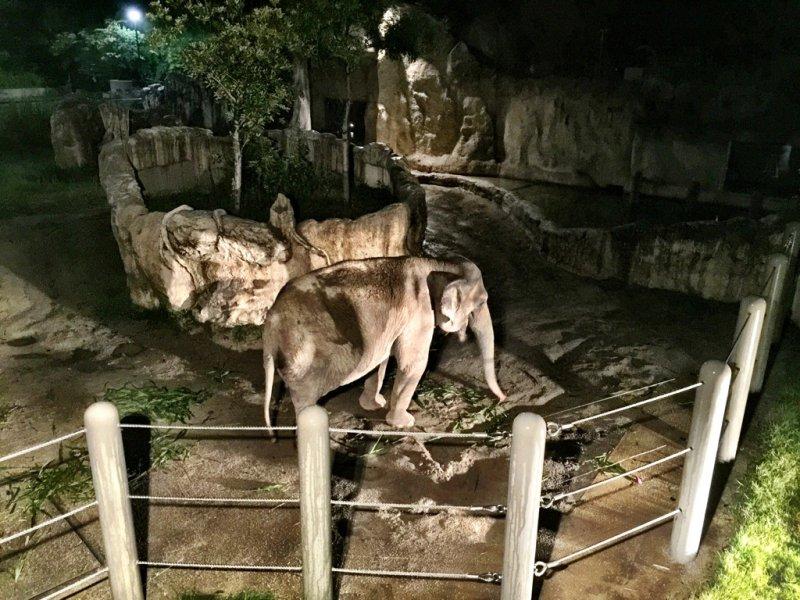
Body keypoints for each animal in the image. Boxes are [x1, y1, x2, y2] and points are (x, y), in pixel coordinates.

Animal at [266, 255, 506, 428]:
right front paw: (404, 423)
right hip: (304, 355)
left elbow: (380, 360)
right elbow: (414, 365)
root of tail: (271, 324)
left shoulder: (386, 329)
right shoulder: (418, 316)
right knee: (305, 397)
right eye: (482, 302)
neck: (437, 264)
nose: (503, 399)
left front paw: (374, 405)